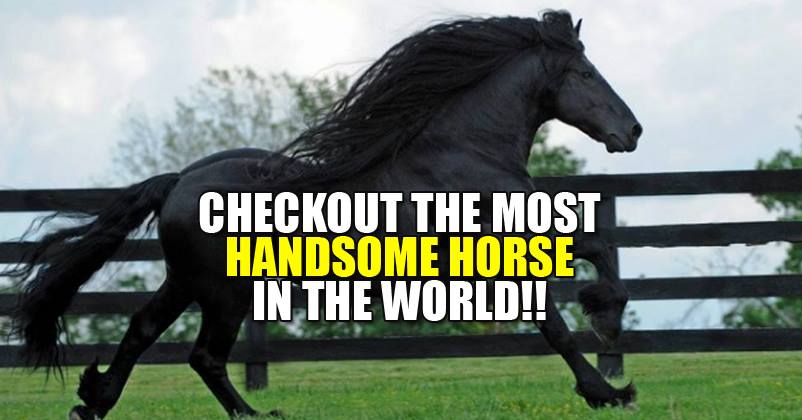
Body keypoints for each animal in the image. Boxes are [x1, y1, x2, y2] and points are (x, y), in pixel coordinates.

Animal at [4, 11, 642, 418]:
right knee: (204, 355)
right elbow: (564, 308)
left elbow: (586, 264)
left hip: (185, 282)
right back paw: (256, 415)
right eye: (586, 74)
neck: (464, 151)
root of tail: (179, 182)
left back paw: (93, 402)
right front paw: (609, 378)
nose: (632, 131)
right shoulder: (503, 254)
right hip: (226, 292)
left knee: (142, 331)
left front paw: (606, 349)